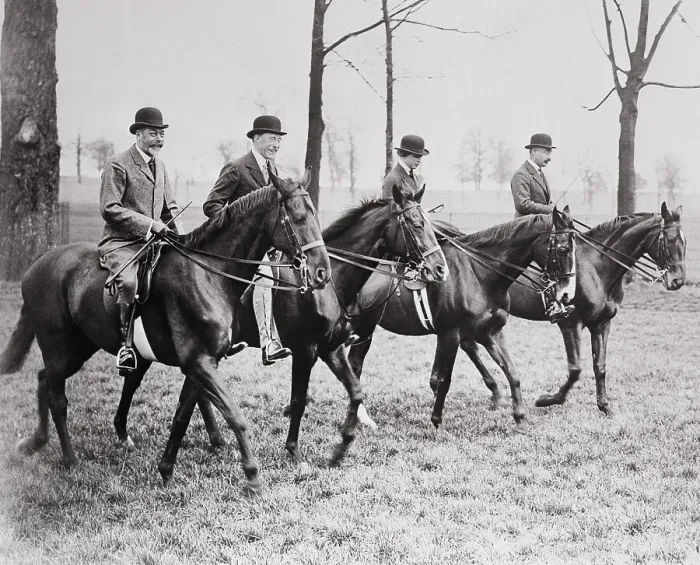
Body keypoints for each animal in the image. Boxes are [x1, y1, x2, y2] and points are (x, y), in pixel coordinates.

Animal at [0, 171, 330, 494]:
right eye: (298, 217)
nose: (322, 273)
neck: (207, 273)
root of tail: (38, 264)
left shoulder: (202, 362)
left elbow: (182, 416)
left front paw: (166, 470)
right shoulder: (199, 362)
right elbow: (235, 415)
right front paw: (253, 477)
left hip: (80, 346)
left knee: (44, 379)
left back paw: (35, 442)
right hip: (58, 345)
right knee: (58, 398)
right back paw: (69, 459)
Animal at [115, 185, 449, 466]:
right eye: (417, 225)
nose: (440, 269)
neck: (331, 283)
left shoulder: (330, 348)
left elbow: (355, 392)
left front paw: (340, 448)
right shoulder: (306, 350)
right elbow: (299, 400)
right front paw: (294, 452)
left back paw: (212, 441)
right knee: (138, 379)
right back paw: (127, 434)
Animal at [348, 206, 577, 434]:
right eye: (563, 249)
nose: (567, 294)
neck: (477, 274)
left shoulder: (491, 331)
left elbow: (511, 371)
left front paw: (520, 419)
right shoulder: (451, 334)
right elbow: (444, 379)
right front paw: (437, 421)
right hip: (362, 327)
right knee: (355, 364)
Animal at [460, 202, 685, 416]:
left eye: (685, 241)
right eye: (670, 239)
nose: (678, 281)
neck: (596, 268)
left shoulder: (602, 323)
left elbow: (600, 366)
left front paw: (605, 406)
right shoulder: (569, 323)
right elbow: (576, 369)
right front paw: (547, 400)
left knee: (471, 345)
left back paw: (497, 393)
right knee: (471, 345)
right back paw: (498, 394)